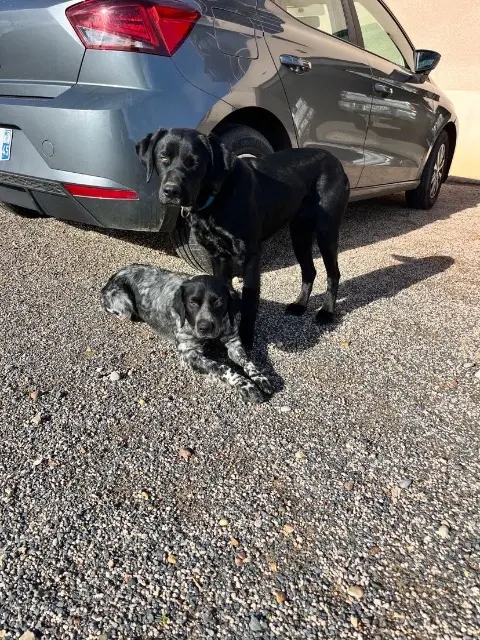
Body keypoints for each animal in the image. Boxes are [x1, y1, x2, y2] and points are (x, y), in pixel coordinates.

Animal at [100, 264, 274, 404]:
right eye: (192, 302)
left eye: (219, 302)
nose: (205, 327)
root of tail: (115, 275)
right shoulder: (189, 354)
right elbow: (223, 367)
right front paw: (246, 385)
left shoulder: (233, 341)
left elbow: (248, 362)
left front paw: (260, 377)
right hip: (124, 306)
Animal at [135, 129, 348, 350]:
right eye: (163, 157)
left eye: (194, 162)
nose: (171, 191)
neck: (218, 195)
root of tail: (334, 160)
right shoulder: (218, 256)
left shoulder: (251, 256)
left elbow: (248, 300)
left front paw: (245, 339)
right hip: (299, 234)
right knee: (309, 271)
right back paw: (300, 305)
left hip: (326, 233)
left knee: (333, 274)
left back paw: (326, 311)